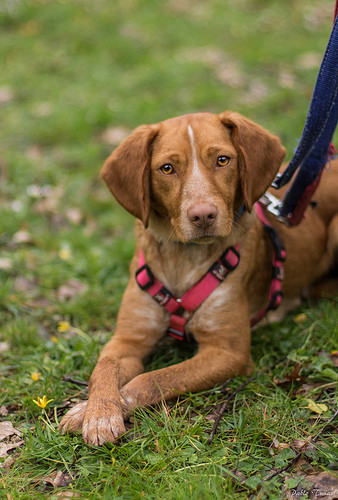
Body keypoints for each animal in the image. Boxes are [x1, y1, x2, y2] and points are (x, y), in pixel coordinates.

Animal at [58, 111, 338, 444]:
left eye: (222, 160)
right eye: (167, 168)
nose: (203, 215)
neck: (182, 258)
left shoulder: (227, 352)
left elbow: (155, 378)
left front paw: (103, 409)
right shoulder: (128, 338)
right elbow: (103, 368)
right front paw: (95, 411)